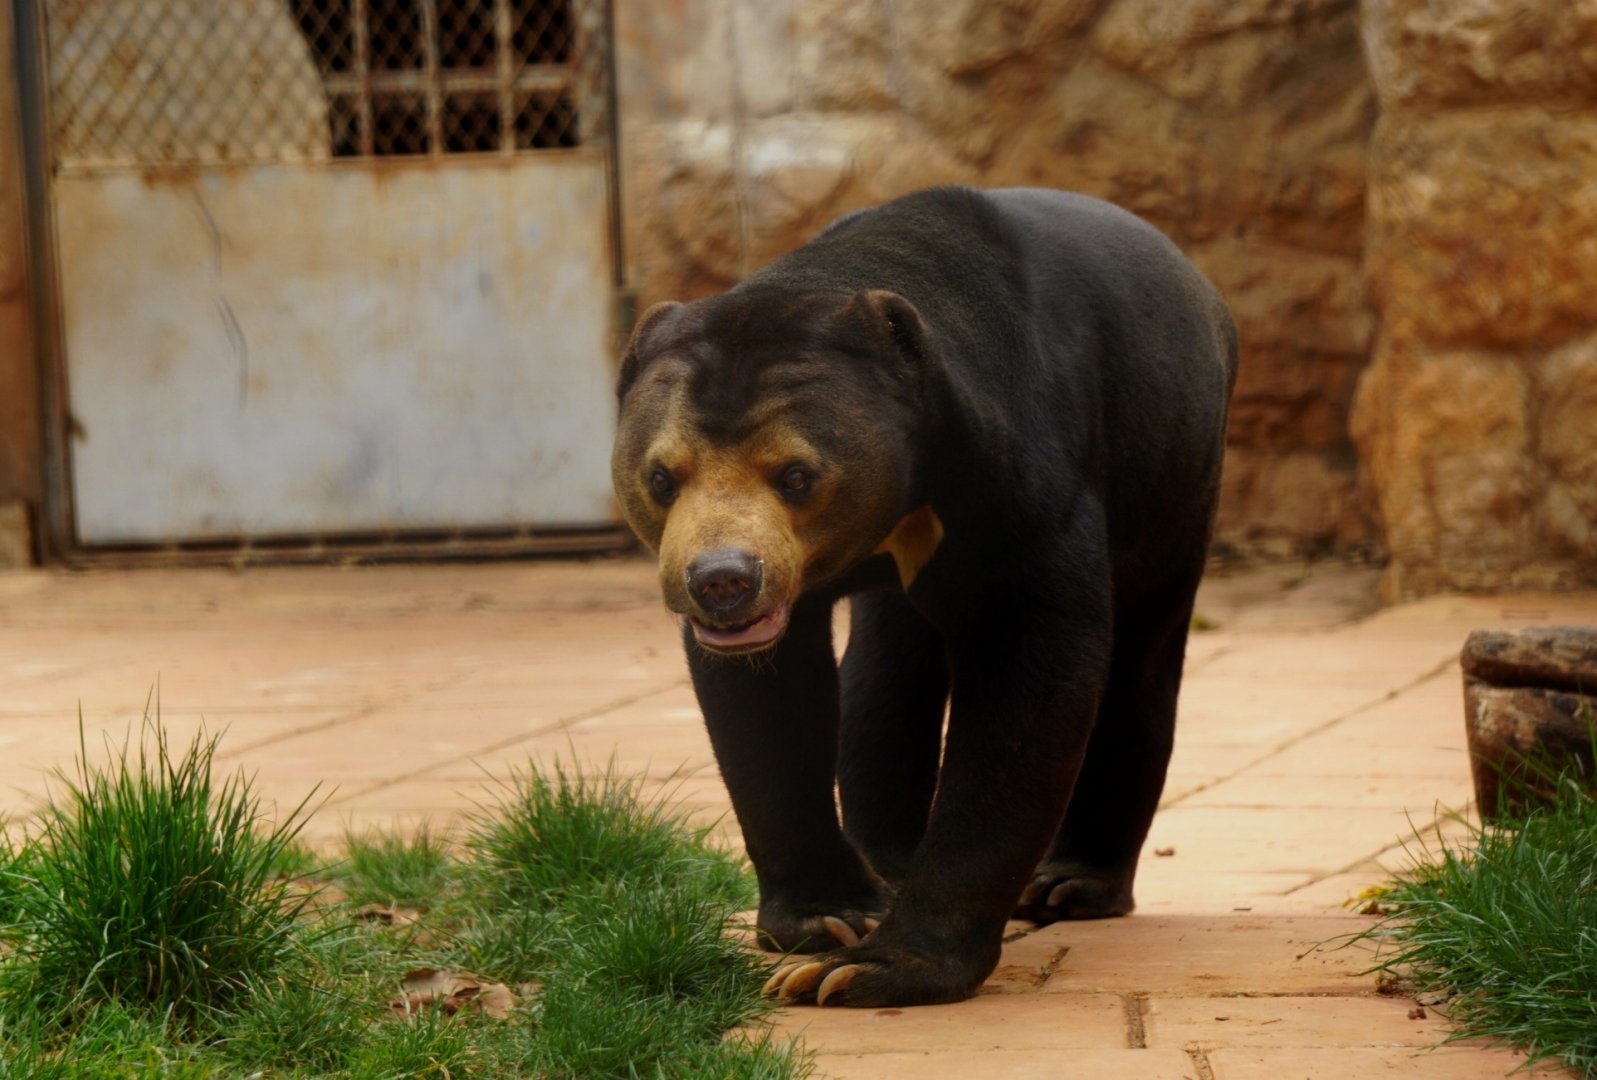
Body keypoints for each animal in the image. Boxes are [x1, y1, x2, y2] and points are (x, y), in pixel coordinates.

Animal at [611, 186, 1238, 1008]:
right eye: (661, 477)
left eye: (796, 475)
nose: (722, 581)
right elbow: (768, 702)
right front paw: (828, 920)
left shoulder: (1022, 486)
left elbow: (1026, 683)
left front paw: (871, 969)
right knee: (889, 662)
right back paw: (890, 857)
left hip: (1174, 470)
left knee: (1142, 655)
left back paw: (1069, 884)